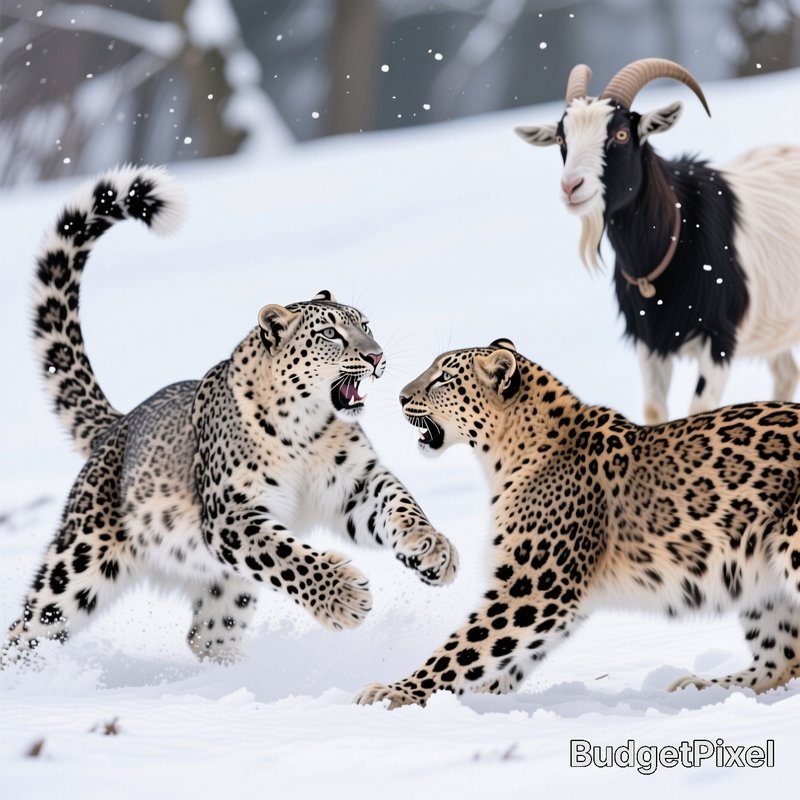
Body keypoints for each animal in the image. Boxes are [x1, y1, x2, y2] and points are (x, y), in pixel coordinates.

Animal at [515, 58, 800, 424]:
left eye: (622, 134)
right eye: (562, 138)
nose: (571, 187)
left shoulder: (719, 338)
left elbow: (700, 409)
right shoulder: (649, 343)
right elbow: (653, 410)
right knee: (786, 374)